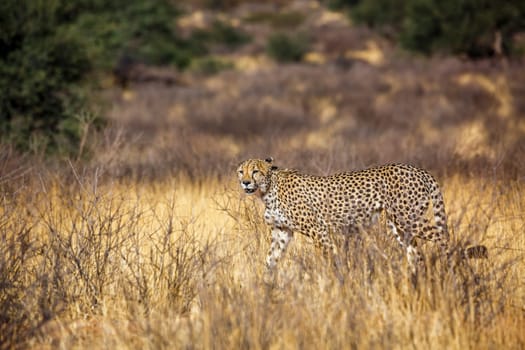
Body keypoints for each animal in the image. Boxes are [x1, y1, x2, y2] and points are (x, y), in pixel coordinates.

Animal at [235, 157, 486, 274]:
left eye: (255, 171)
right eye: (241, 171)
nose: (245, 182)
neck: (267, 189)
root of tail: (417, 169)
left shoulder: (318, 230)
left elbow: (330, 259)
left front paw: (335, 283)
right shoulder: (282, 232)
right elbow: (270, 260)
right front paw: (265, 288)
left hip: (408, 218)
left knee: (444, 237)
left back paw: (452, 268)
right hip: (397, 225)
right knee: (415, 253)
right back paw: (415, 279)